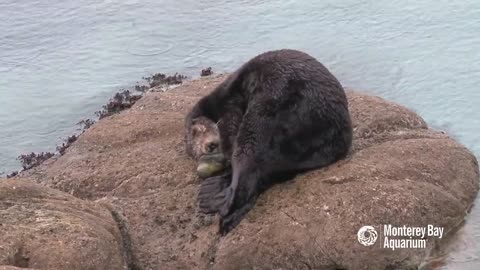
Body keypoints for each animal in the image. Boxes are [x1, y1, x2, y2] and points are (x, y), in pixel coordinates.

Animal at [184, 48, 352, 234]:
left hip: (264, 114)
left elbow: (230, 123)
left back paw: (220, 201)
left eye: (198, 131)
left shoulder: (229, 103)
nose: (209, 146)